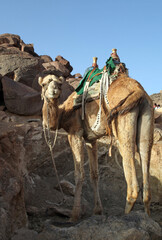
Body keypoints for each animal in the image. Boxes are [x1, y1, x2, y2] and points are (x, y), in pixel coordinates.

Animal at [38, 68, 154, 221]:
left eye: (59, 84)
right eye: (44, 84)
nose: (54, 91)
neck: (64, 113)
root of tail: (138, 91)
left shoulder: (75, 133)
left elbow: (79, 175)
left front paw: (74, 215)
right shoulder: (91, 139)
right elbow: (94, 174)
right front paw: (97, 211)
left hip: (123, 122)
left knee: (132, 178)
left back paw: (126, 215)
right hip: (147, 117)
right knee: (145, 161)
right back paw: (147, 217)